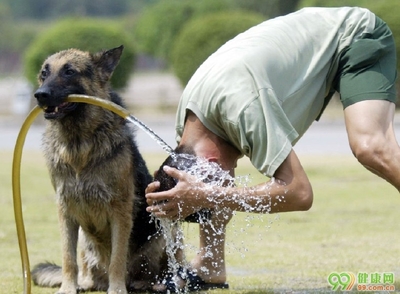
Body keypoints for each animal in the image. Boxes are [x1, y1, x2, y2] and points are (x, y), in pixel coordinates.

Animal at [31, 44, 170, 292]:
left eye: (69, 72)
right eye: (44, 73)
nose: (40, 95)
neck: (78, 144)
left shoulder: (120, 211)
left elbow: (117, 258)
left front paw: (117, 290)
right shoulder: (65, 210)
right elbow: (68, 257)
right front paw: (68, 288)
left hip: (163, 229)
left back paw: (152, 284)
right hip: (85, 242)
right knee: (86, 269)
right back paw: (85, 283)